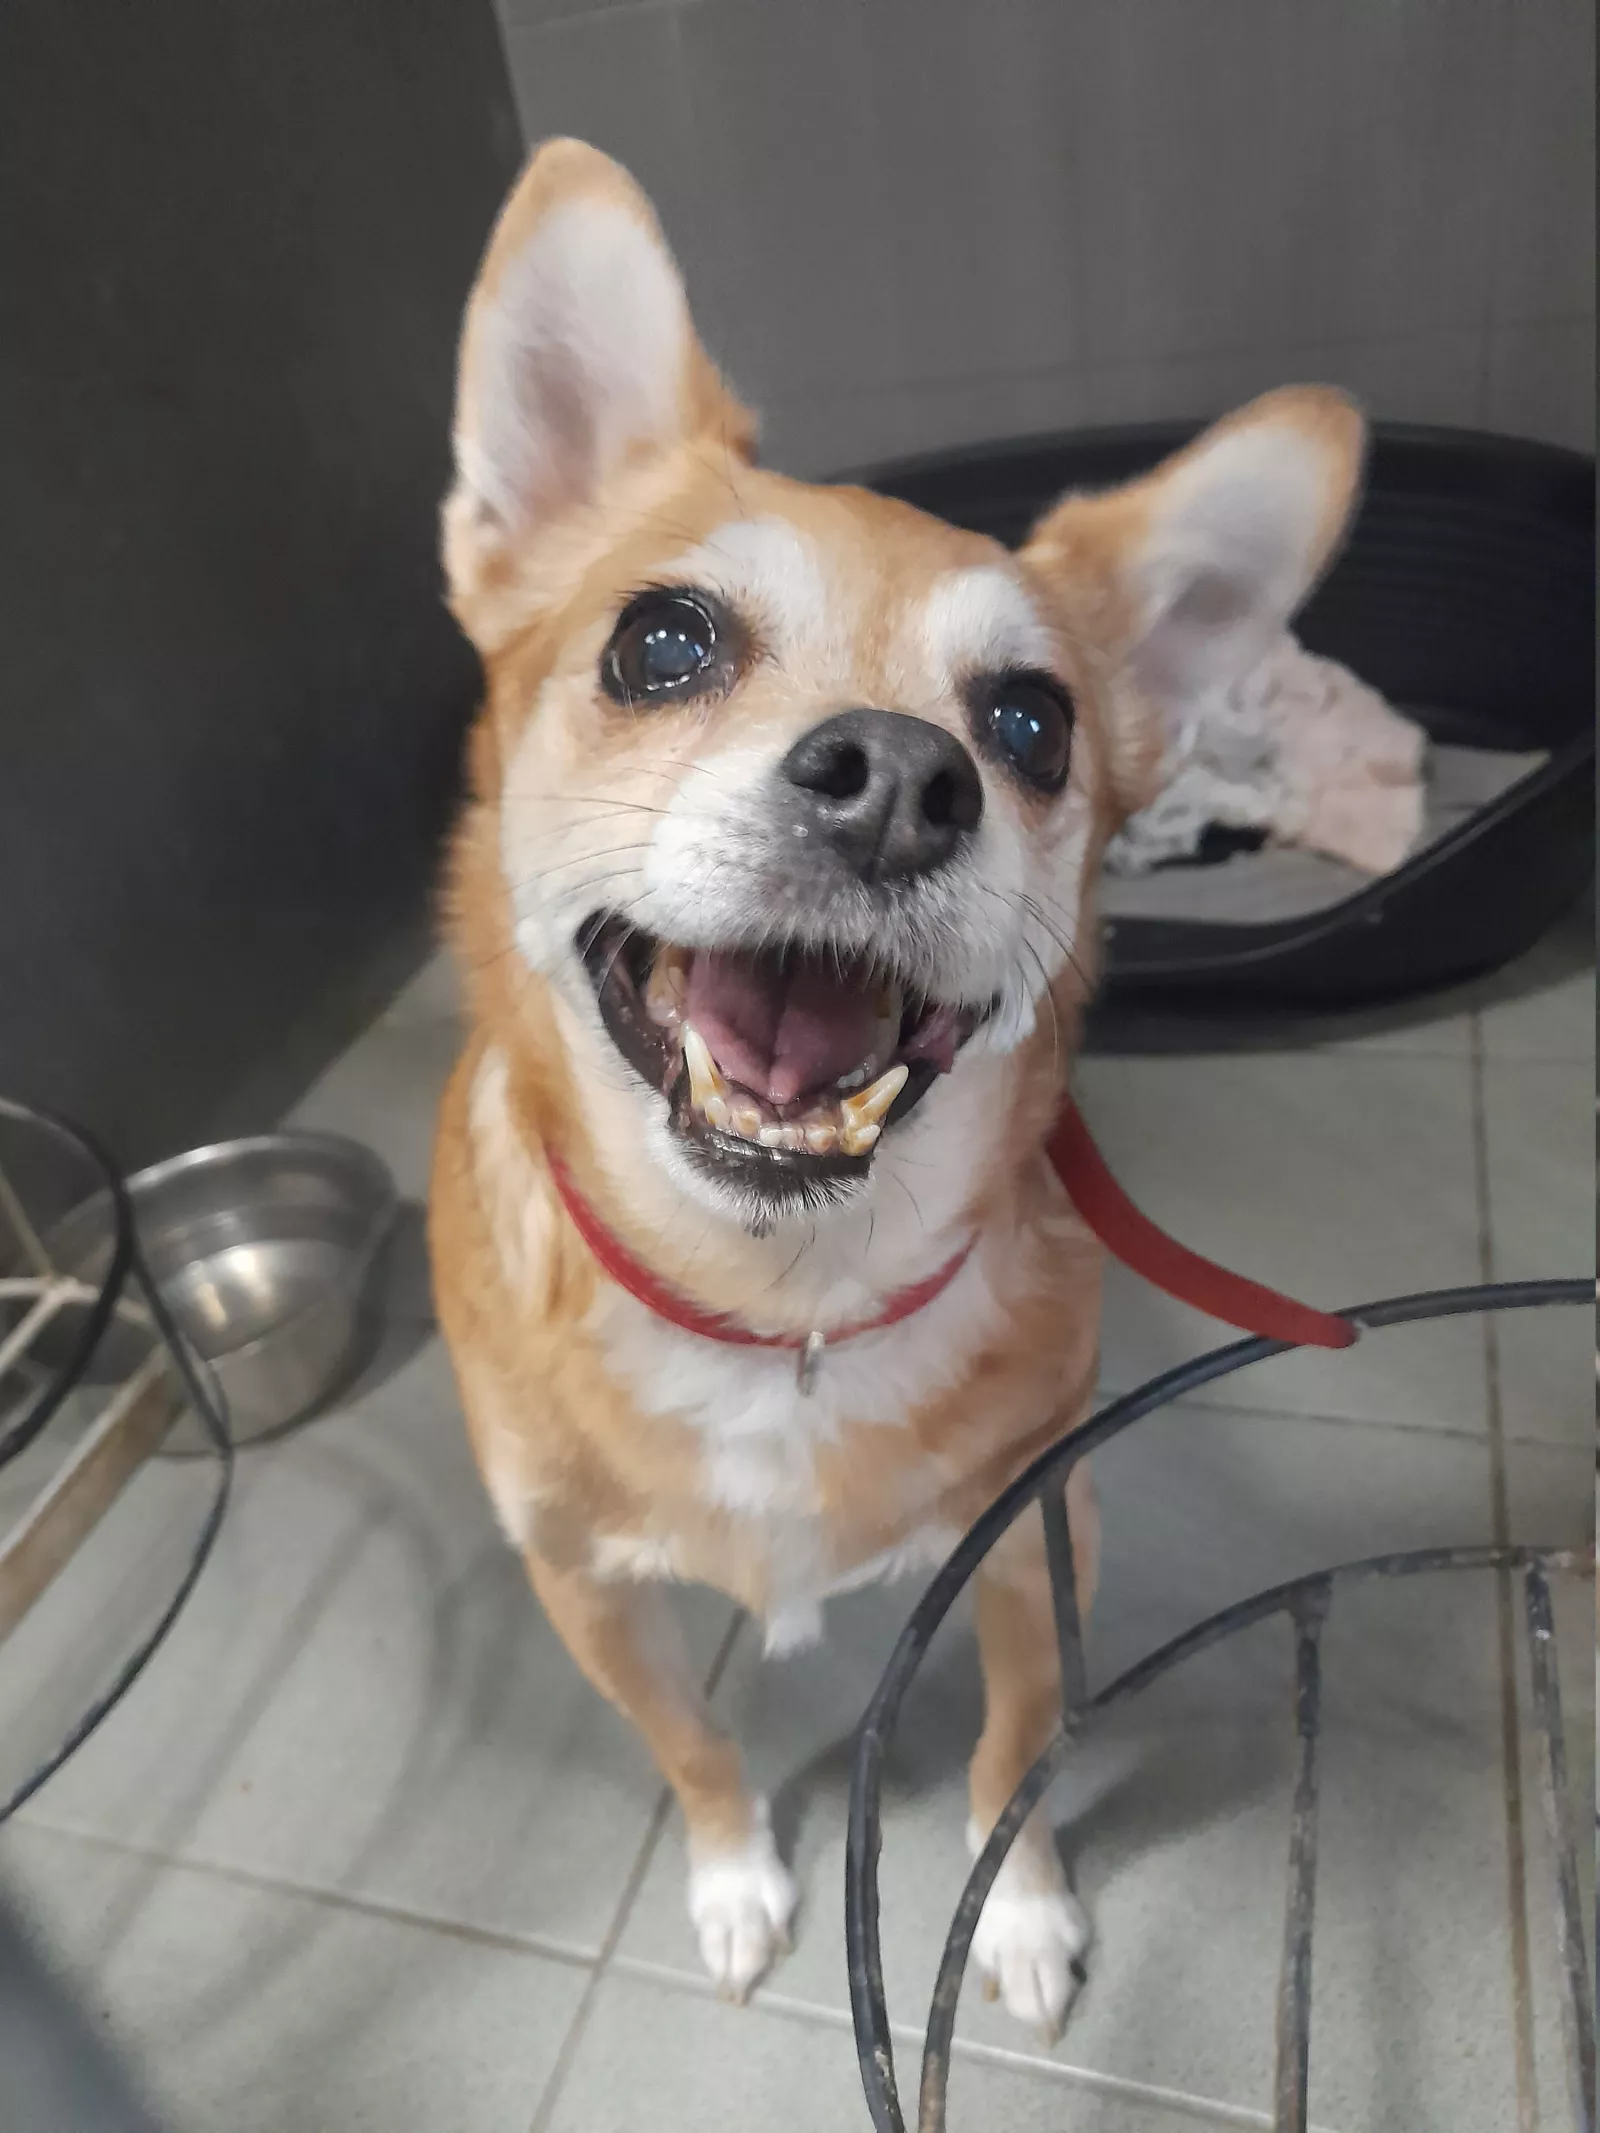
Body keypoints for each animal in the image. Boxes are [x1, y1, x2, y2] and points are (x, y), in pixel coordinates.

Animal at [428, 138, 1363, 2034]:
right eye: (659, 645)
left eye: (1032, 728)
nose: (896, 777)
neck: (774, 1300)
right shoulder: (582, 1588)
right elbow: (694, 1743)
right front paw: (733, 1876)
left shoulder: (1031, 1539)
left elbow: (1014, 1758)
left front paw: (1021, 1914)